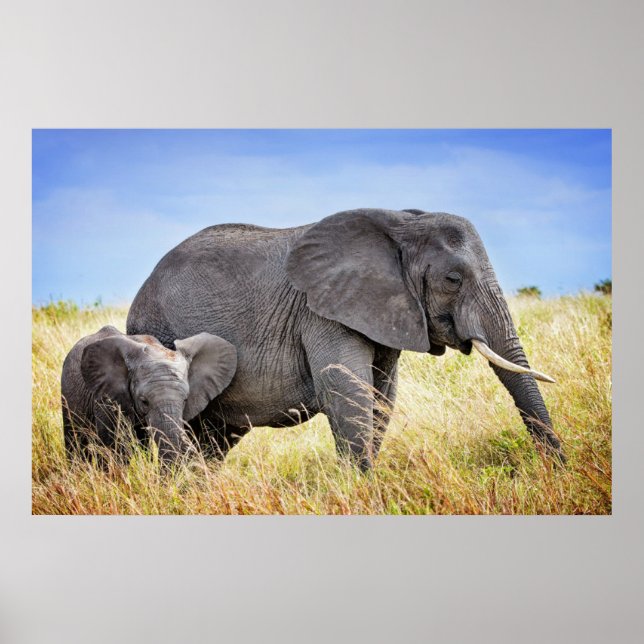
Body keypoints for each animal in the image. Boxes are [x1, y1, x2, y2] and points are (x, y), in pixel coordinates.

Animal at [126, 208, 562, 470]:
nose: (558, 469)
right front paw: (362, 488)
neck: (401, 224)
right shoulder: (321, 313)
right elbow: (346, 389)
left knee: (214, 439)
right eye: (453, 279)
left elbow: (382, 397)